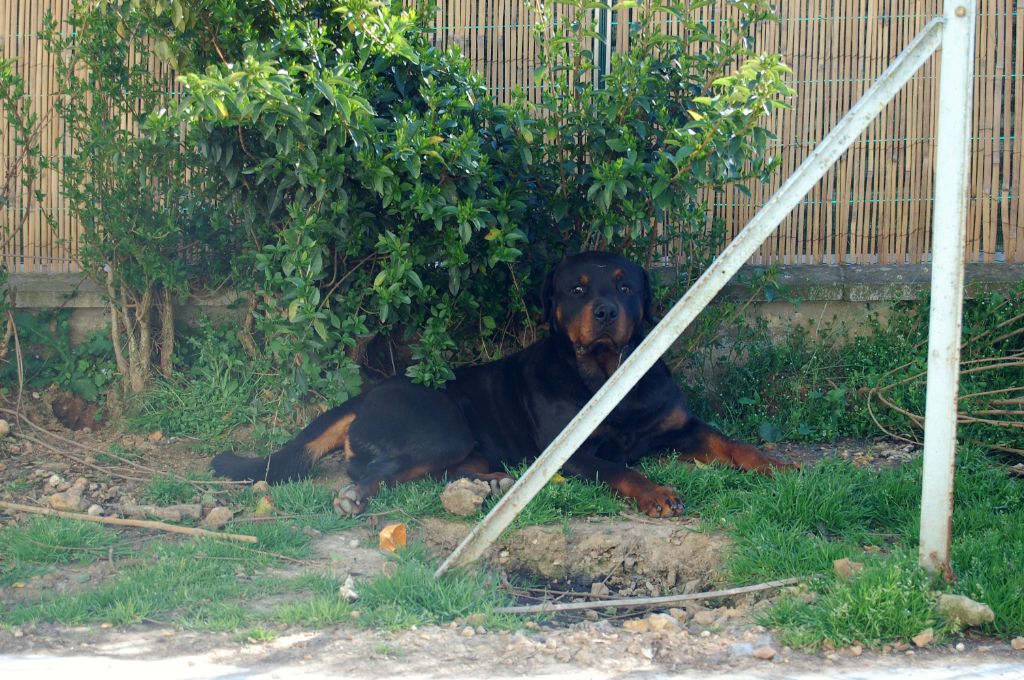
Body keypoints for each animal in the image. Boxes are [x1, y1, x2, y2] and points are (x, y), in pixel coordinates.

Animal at [211, 251, 786, 518]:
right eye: (578, 290)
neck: (606, 375)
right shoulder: (572, 452)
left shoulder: (681, 425)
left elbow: (731, 443)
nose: (605, 311)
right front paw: (657, 493)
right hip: (443, 427)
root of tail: (367, 394)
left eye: (626, 287)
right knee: (378, 468)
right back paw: (358, 497)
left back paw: (490, 483)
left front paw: (778, 466)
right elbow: (618, 469)